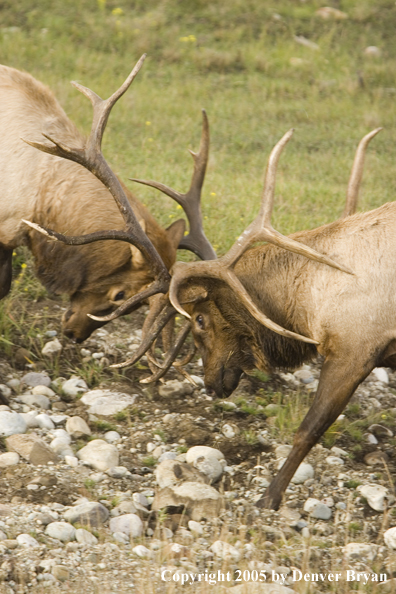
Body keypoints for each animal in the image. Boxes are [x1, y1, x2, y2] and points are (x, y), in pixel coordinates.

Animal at [27, 56, 386, 508]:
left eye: (199, 320)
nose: (212, 383)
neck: (311, 301)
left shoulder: (356, 345)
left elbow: (308, 430)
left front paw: (268, 500)